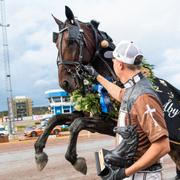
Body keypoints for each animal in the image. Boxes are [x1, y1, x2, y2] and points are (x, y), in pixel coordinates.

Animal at [34, 5, 179, 177]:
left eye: (71, 41)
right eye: (56, 44)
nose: (65, 83)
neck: (120, 81)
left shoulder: (112, 124)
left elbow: (76, 124)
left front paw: (75, 159)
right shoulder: (89, 114)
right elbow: (56, 119)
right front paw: (39, 152)